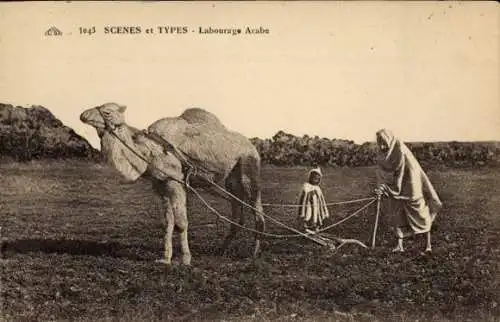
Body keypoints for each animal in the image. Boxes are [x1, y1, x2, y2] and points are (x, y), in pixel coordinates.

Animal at [79, 102, 266, 264]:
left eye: (107, 112)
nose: (83, 115)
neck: (149, 151)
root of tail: (251, 145)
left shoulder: (176, 182)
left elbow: (181, 223)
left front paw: (185, 259)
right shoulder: (160, 184)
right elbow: (167, 223)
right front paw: (165, 258)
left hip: (249, 168)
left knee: (257, 211)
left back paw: (254, 254)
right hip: (232, 180)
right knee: (238, 212)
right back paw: (221, 250)